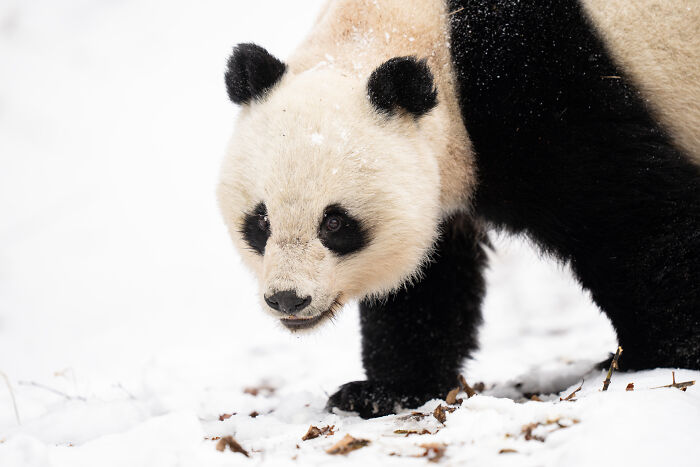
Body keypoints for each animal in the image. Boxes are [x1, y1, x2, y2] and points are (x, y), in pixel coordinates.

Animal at [217, 0, 700, 418]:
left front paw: (659, 356)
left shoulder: (536, 85)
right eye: (261, 221)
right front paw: (384, 391)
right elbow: (427, 282)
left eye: (334, 223)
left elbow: (628, 214)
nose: (287, 299)